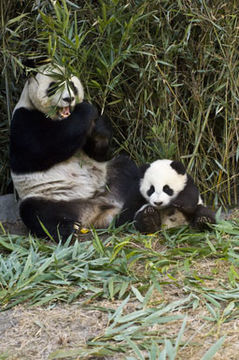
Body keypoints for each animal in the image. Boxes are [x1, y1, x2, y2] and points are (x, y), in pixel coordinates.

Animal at [9, 64, 140, 242]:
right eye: (53, 87)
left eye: (72, 85)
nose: (68, 99)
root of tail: (95, 212)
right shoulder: (23, 119)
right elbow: (40, 149)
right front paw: (86, 110)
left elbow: (98, 154)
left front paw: (100, 128)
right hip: (51, 196)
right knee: (35, 212)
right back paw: (68, 228)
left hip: (108, 181)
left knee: (125, 168)